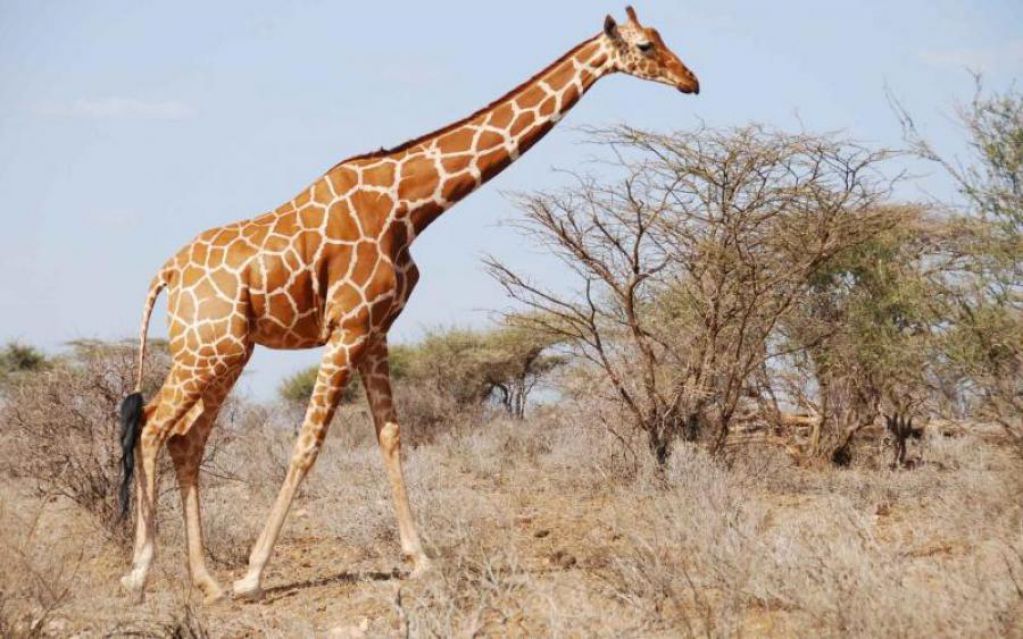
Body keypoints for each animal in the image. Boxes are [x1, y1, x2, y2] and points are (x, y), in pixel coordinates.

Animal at [117, 6, 699, 604]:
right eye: (646, 45)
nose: (691, 81)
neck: (410, 205)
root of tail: (166, 273)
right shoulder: (347, 327)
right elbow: (308, 443)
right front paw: (254, 574)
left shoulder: (375, 332)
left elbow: (391, 437)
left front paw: (420, 560)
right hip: (208, 347)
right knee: (152, 426)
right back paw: (140, 573)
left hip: (228, 351)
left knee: (186, 439)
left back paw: (205, 579)